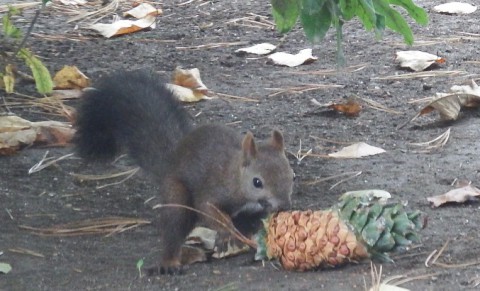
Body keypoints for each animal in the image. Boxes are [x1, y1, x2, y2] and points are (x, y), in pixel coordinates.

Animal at [73, 69, 294, 274]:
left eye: (291, 176)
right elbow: (207, 208)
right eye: (257, 182)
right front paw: (226, 231)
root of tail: (172, 159)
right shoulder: (214, 187)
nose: (284, 205)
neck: (235, 174)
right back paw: (170, 262)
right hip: (176, 194)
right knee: (174, 227)